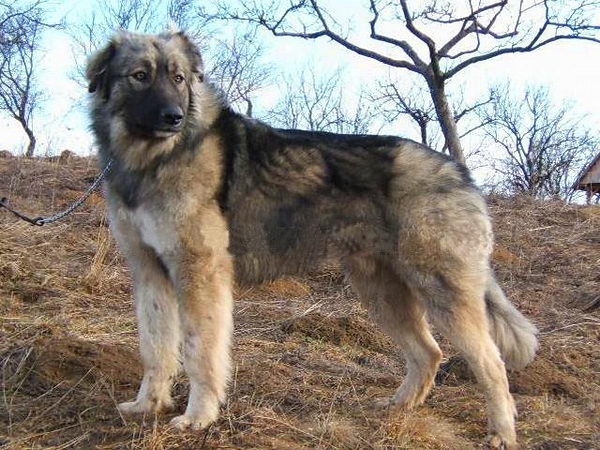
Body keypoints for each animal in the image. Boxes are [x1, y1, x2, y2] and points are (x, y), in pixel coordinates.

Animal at [85, 29, 540, 448]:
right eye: (140, 76)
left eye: (178, 78)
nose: (174, 116)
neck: (156, 158)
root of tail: (460, 173)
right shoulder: (150, 273)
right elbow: (155, 348)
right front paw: (147, 405)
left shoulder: (199, 274)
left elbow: (200, 352)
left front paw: (198, 417)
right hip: (381, 292)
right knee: (429, 353)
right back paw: (398, 408)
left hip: (441, 291)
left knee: (491, 364)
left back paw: (501, 432)